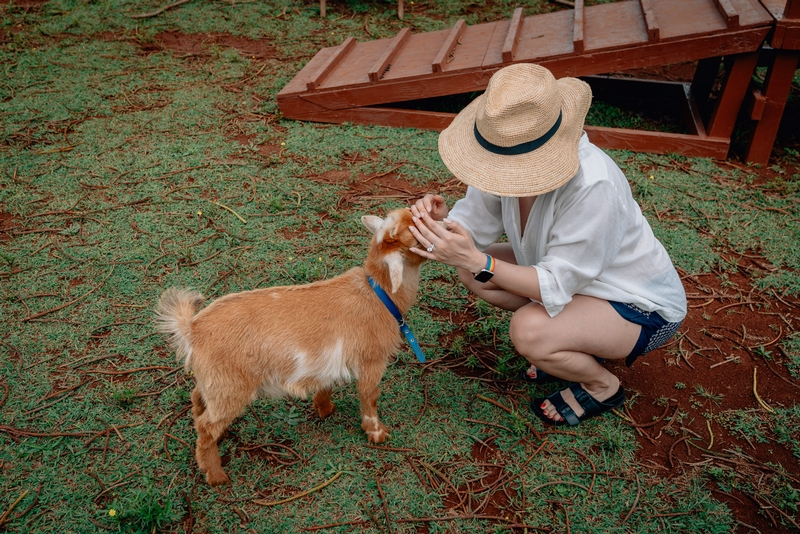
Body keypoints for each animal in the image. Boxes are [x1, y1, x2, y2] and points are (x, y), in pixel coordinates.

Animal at [155, 211, 424, 488]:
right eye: (415, 230)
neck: (379, 294)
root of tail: (192, 330)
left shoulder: (329, 359)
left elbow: (326, 384)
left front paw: (325, 409)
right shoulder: (372, 360)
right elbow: (370, 396)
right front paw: (377, 434)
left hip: (214, 382)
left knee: (197, 401)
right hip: (230, 388)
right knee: (206, 428)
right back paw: (216, 476)